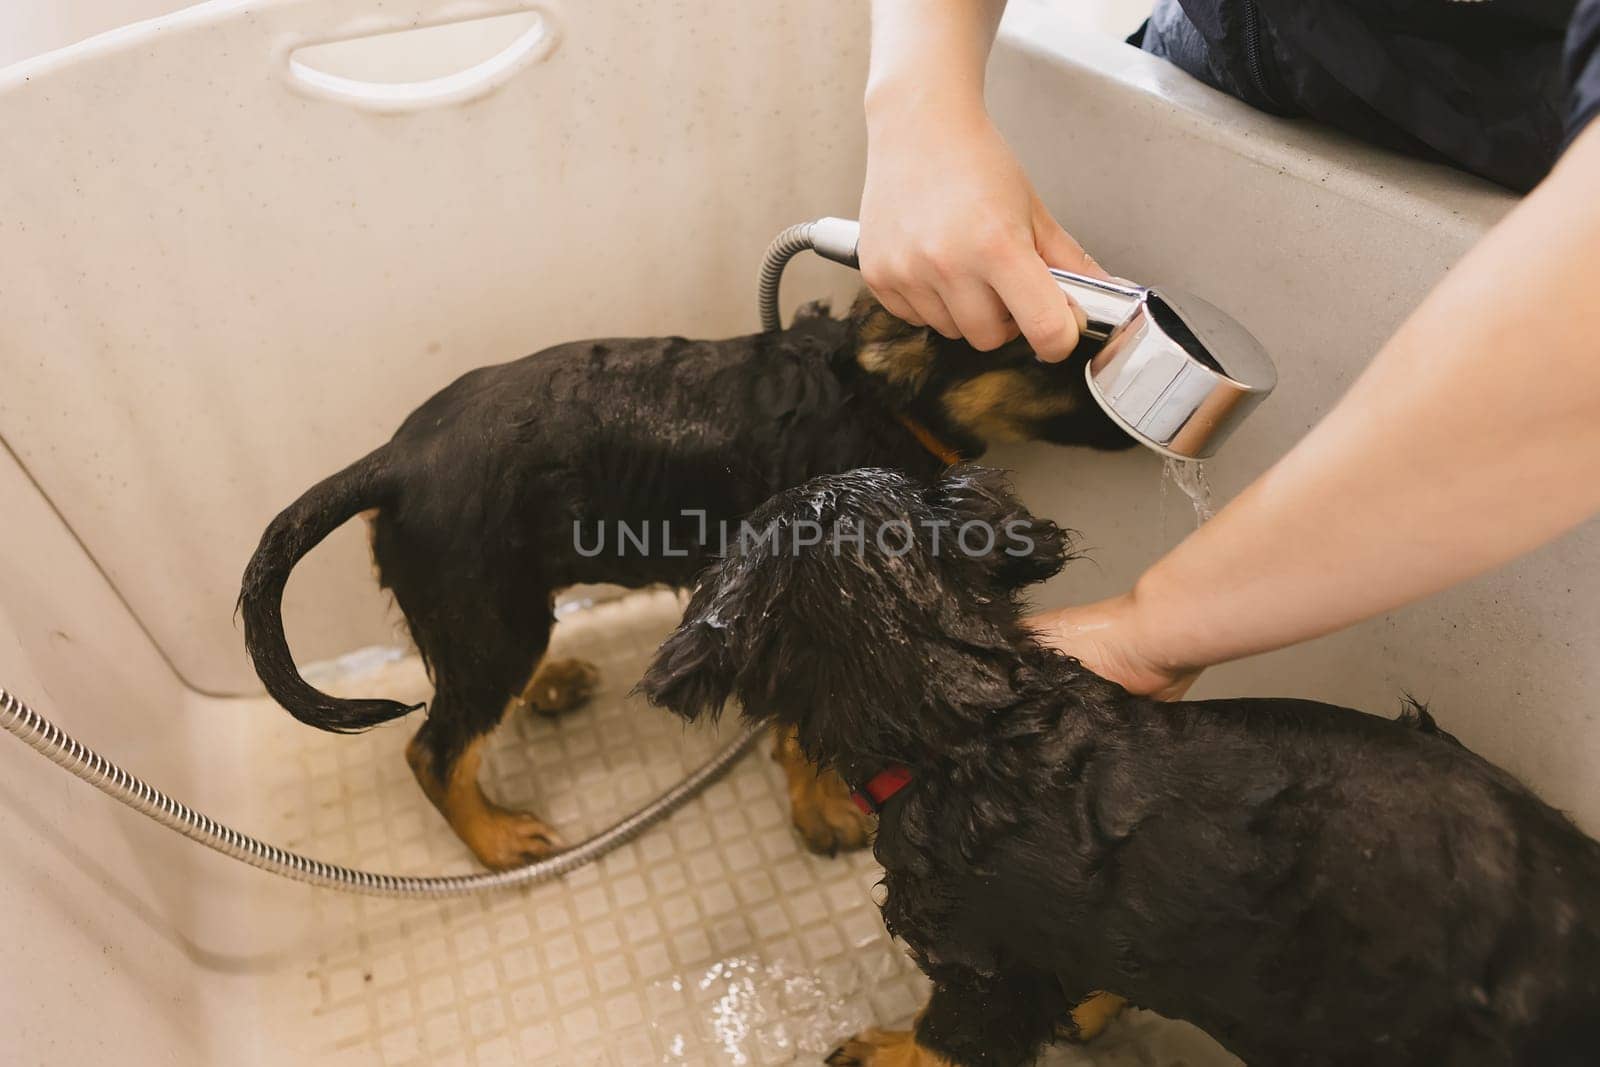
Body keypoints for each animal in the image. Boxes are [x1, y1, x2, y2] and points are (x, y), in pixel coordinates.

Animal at [243, 292, 1132, 870]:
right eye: (1056, 354)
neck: (876, 400)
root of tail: (394, 459)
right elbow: (801, 737)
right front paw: (821, 813)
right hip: (490, 614)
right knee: (435, 750)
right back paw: (495, 838)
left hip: (501, 610)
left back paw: (550, 685)